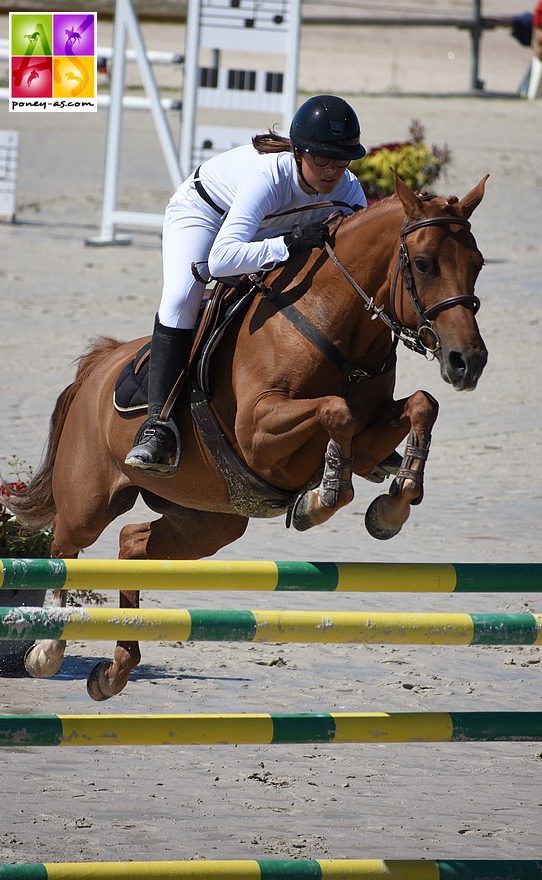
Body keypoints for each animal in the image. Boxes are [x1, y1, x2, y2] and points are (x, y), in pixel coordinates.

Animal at [9, 175, 488, 700]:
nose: (468, 361)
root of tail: (100, 364)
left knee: (132, 543)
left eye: (477, 264)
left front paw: (391, 506)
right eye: (423, 264)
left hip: (209, 519)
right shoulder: (260, 434)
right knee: (64, 548)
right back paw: (46, 650)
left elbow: (422, 404)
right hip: (91, 500)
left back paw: (115, 669)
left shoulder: (368, 439)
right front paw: (321, 498)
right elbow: (336, 412)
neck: (334, 326)